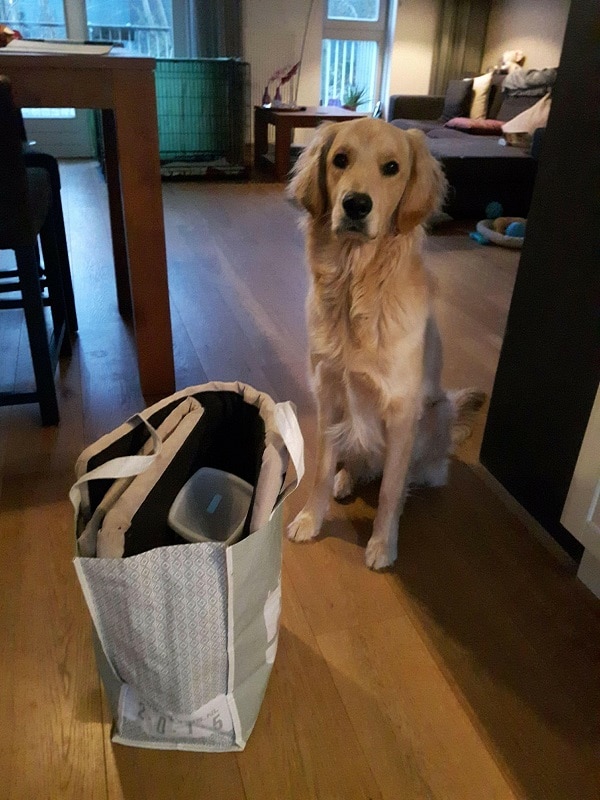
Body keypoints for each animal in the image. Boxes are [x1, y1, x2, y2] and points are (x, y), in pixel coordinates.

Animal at [288, 117, 488, 568]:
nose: (355, 205)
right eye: (340, 160)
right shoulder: (329, 395)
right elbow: (322, 470)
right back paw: (348, 477)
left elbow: (391, 490)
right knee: (353, 461)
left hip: (436, 412)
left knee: (414, 473)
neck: (355, 286)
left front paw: (382, 543)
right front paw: (311, 518)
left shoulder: (400, 412)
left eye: (392, 168)